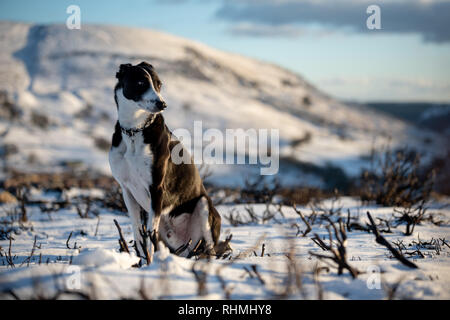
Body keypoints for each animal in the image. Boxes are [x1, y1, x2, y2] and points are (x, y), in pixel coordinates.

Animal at [109, 62, 225, 264]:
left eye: (159, 84)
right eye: (140, 83)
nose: (162, 104)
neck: (134, 131)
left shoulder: (156, 188)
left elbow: (149, 235)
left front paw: (149, 265)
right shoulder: (127, 190)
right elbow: (139, 234)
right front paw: (142, 263)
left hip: (204, 206)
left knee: (210, 249)